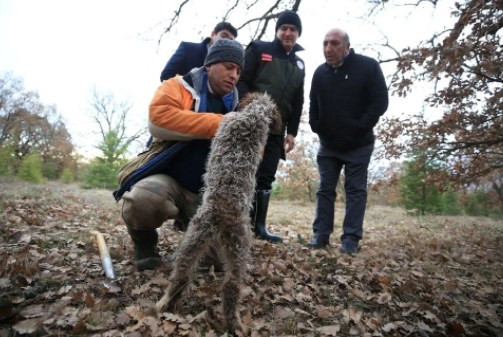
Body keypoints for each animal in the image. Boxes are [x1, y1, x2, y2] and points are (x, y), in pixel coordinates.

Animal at [157, 92, 280, 334]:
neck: (253, 118)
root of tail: (224, 216)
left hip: (194, 238)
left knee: (181, 277)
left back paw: (163, 303)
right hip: (233, 252)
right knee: (228, 286)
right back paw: (233, 323)